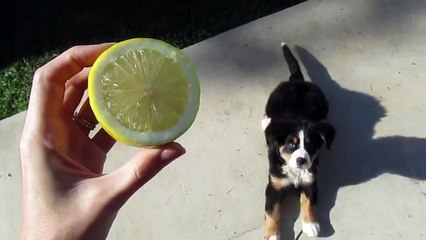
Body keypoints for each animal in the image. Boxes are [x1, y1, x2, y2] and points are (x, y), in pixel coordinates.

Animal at [262, 43, 334, 240]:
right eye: (291, 144)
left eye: (311, 145)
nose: (301, 160)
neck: (295, 171)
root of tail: (297, 81)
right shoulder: (274, 185)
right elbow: (272, 212)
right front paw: (272, 234)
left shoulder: (310, 181)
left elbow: (308, 202)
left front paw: (311, 225)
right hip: (271, 102)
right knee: (267, 116)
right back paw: (265, 123)